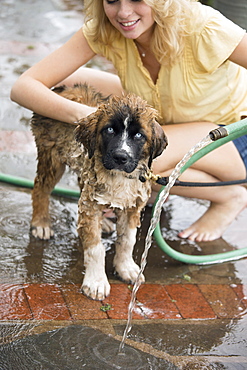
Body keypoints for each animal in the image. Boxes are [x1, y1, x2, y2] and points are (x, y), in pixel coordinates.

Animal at [29, 82, 167, 300]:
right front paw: (96, 282)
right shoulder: (91, 204)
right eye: (109, 130)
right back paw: (41, 223)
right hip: (51, 156)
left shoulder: (132, 205)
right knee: (40, 189)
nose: (120, 157)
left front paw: (126, 267)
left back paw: (104, 223)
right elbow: (96, 248)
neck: (118, 176)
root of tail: (64, 87)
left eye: (139, 135)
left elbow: (127, 240)